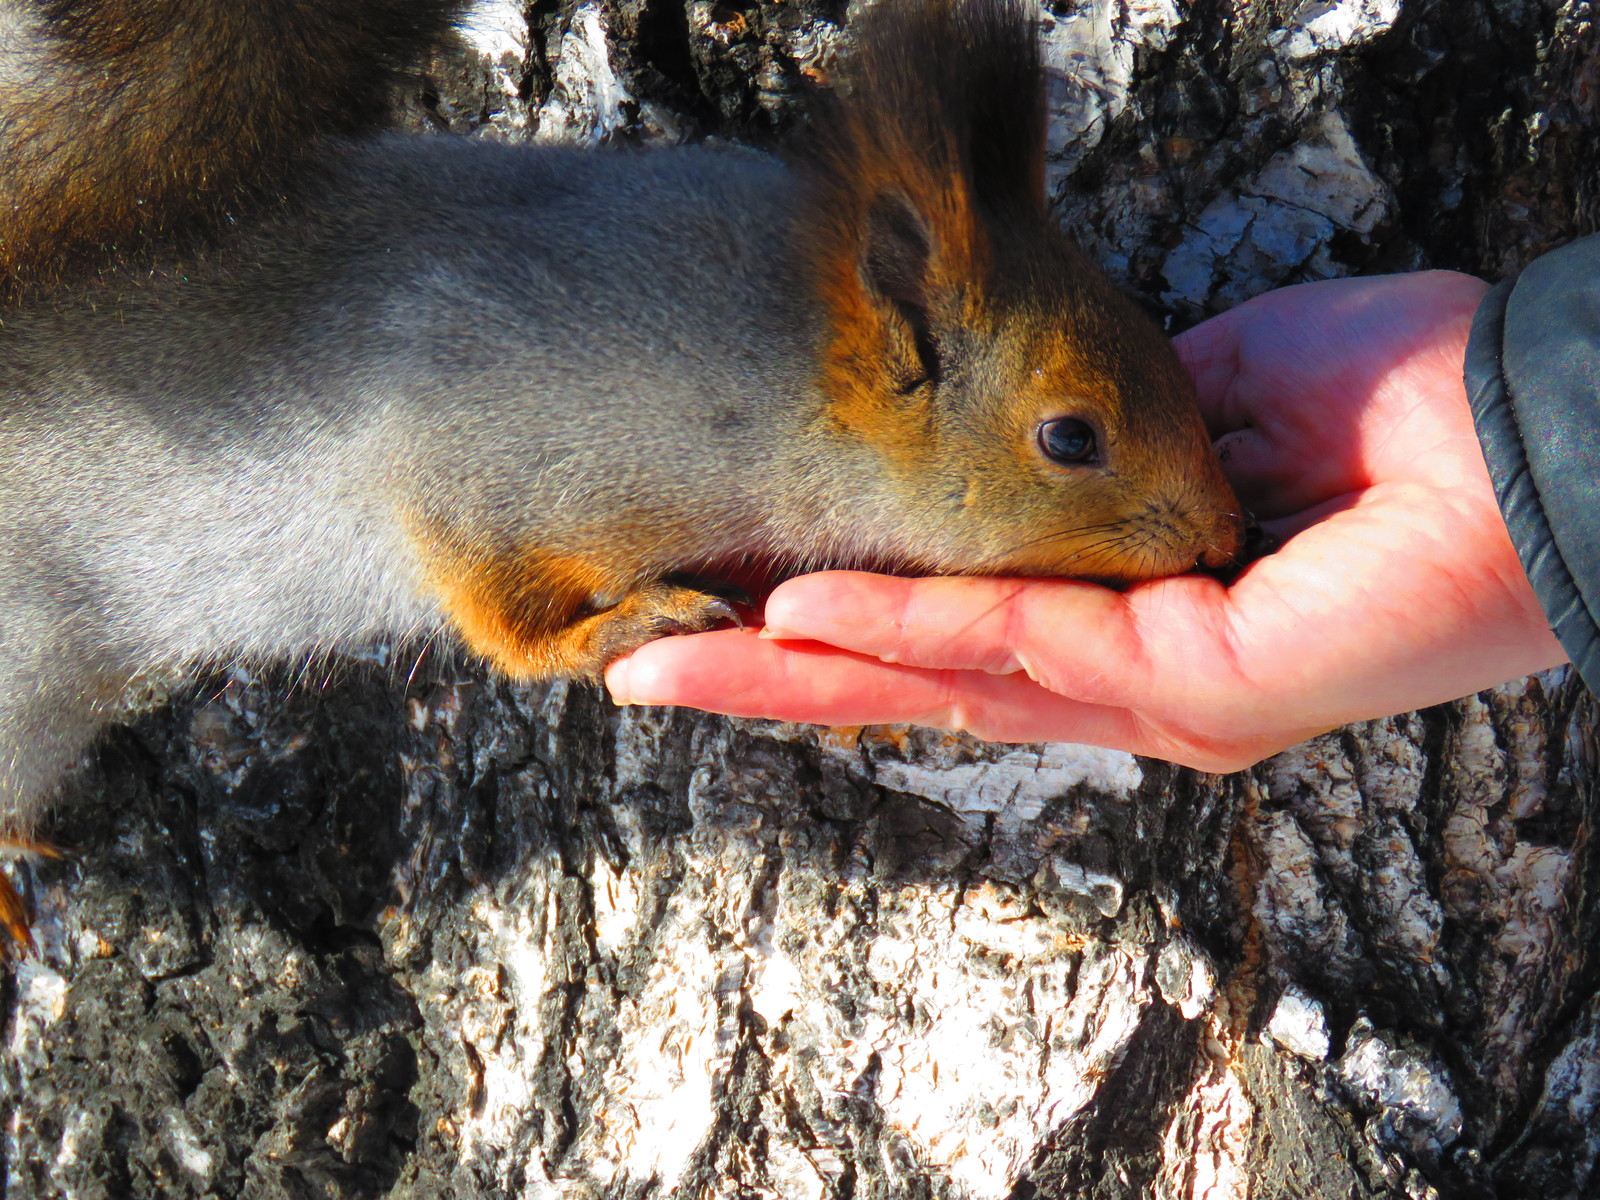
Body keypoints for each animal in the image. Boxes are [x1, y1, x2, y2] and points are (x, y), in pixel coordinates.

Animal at [0, 0, 1235, 953]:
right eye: (1069, 438)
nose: (1222, 537)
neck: (772, 356)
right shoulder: (460, 445)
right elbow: (497, 618)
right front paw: (610, 631)